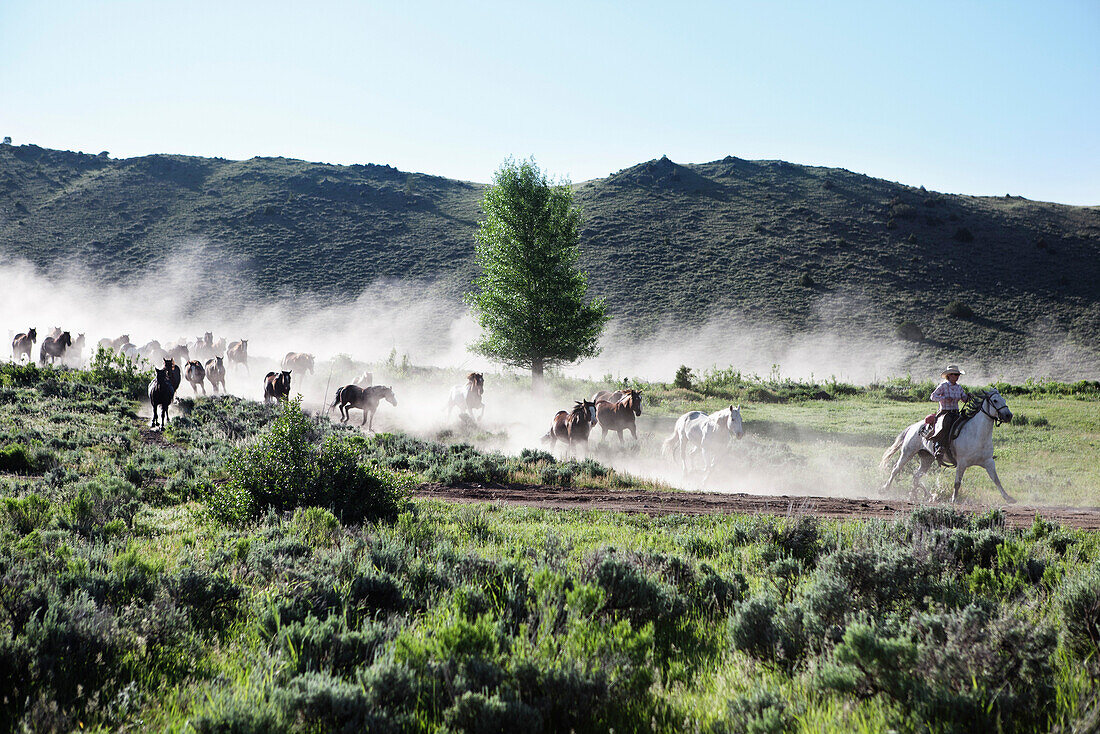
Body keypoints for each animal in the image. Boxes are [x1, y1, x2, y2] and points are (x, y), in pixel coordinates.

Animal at [880, 389, 1016, 506]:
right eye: (995, 400)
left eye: (1004, 399)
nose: (1008, 415)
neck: (977, 434)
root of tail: (913, 427)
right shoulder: (962, 463)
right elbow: (957, 483)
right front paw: (953, 499)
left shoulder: (988, 461)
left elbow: (996, 480)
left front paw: (1008, 498)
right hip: (907, 452)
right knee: (896, 469)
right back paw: (885, 489)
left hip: (926, 459)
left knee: (916, 476)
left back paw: (915, 496)